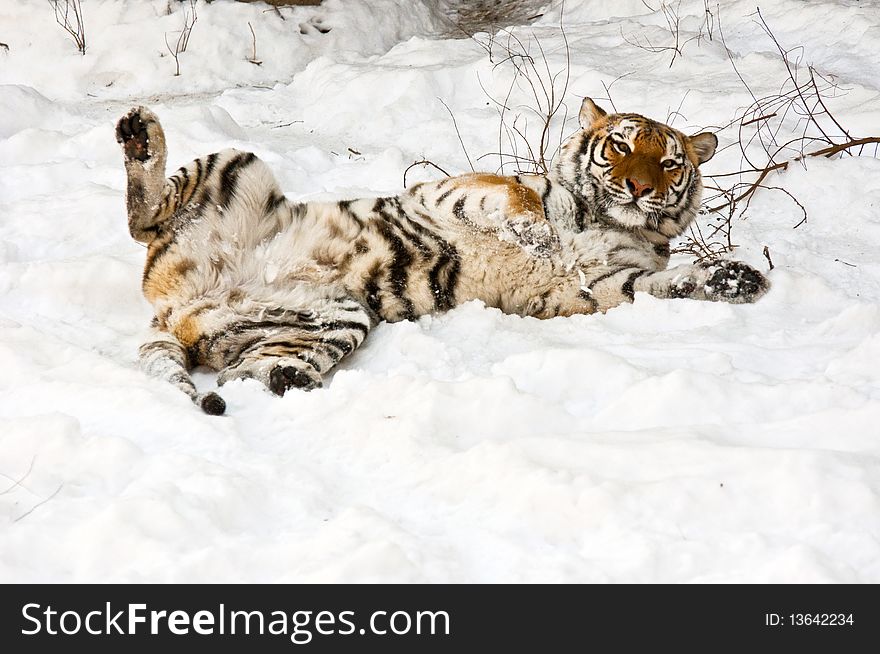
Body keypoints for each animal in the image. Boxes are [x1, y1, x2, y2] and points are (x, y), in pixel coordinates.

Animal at [118, 98, 768, 416]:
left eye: (668, 162)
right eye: (621, 146)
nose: (637, 188)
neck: (607, 220)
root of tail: (174, 307)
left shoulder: (611, 285)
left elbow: (667, 282)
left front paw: (737, 280)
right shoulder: (457, 188)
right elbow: (519, 199)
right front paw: (539, 235)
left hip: (333, 317)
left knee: (243, 372)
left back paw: (284, 380)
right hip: (238, 163)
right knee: (141, 218)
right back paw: (140, 135)